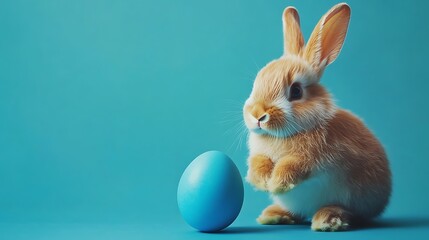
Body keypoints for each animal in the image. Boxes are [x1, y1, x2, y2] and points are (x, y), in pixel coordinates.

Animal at [242, 2, 390, 232]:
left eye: (296, 91)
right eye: (256, 83)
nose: (257, 115)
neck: (282, 135)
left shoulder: (313, 159)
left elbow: (292, 166)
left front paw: (276, 183)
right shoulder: (259, 153)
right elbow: (258, 161)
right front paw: (262, 182)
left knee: (349, 212)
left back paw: (328, 219)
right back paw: (274, 215)